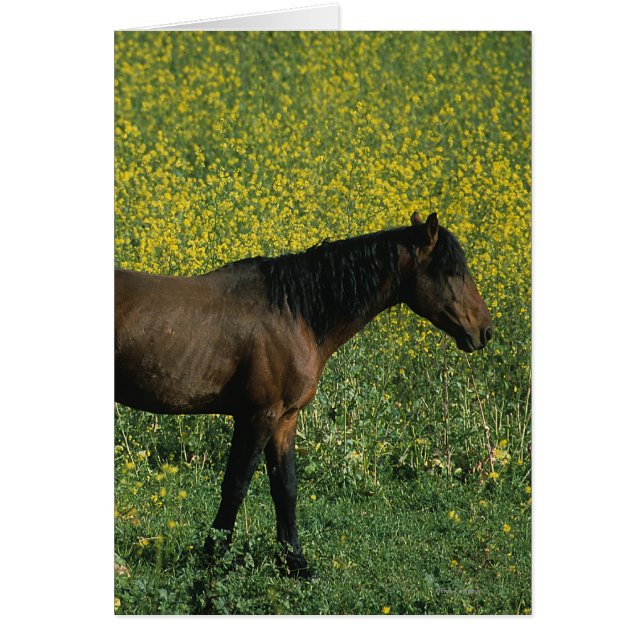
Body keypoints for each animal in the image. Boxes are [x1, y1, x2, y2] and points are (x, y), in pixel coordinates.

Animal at [115, 212, 493, 576]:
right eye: (451, 270)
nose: (485, 331)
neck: (294, 312)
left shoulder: (285, 418)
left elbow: (286, 488)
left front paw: (294, 562)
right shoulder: (258, 416)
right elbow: (236, 485)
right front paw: (213, 556)